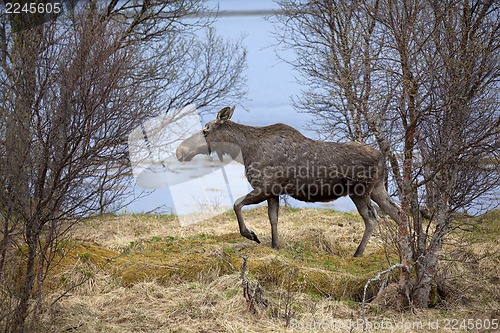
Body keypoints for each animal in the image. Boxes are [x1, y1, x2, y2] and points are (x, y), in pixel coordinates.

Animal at [176, 105, 398, 255]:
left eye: (205, 130)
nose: (180, 151)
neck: (243, 152)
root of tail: (383, 158)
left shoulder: (265, 187)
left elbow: (237, 204)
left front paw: (251, 234)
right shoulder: (273, 191)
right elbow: (273, 218)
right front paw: (275, 246)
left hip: (359, 190)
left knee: (372, 218)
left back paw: (358, 253)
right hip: (377, 188)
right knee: (396, 211)